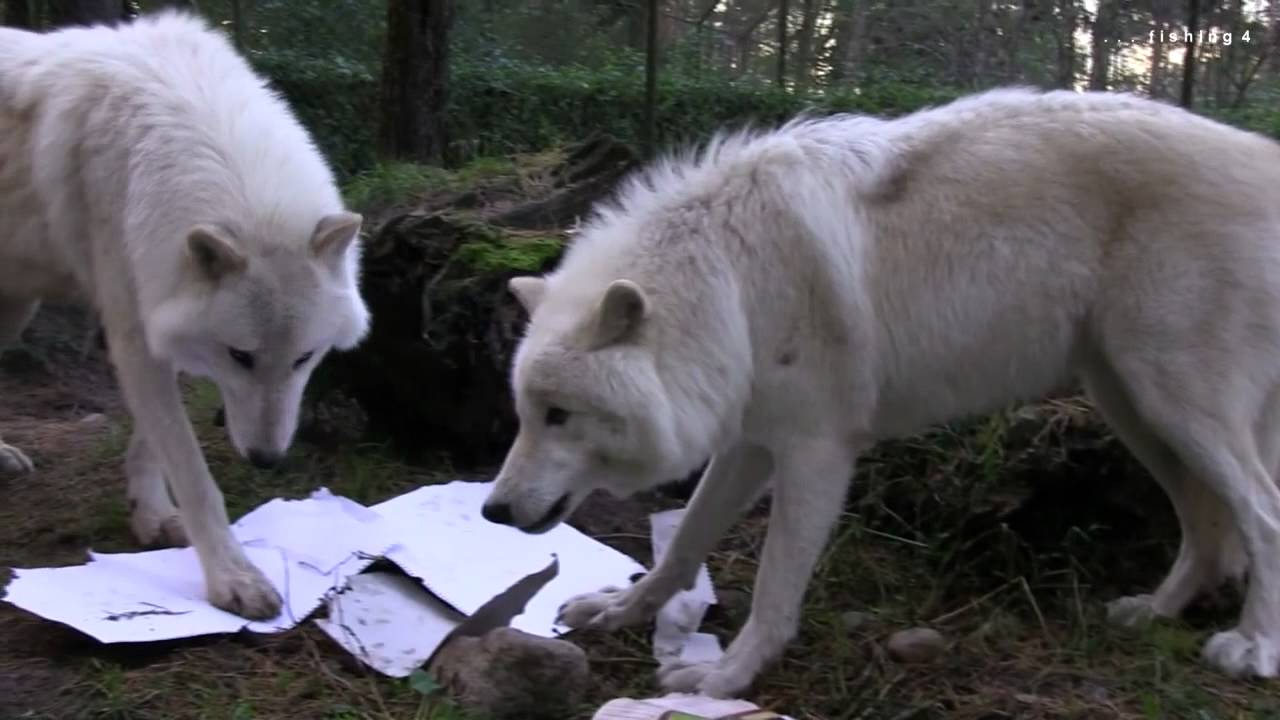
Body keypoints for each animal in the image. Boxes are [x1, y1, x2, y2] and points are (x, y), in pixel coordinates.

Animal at [0, 12, 370, 619]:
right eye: (240, 356)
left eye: (304, 359)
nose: (266, 460)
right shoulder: (134, 333)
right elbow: (194, 475)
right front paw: (232, 577)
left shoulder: (160, 320)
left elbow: (152, 446)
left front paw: (149, 513)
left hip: (18, 307)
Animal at [481, 87, 1280, 695]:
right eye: (522, 415)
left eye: (560, 415)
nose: (492, 510)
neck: (732, 280)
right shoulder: (748, 444)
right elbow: (682, 547)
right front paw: (620, 611)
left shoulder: (816, 452)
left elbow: (774, 588)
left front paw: (725, 678)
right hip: (1135, 407)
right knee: (1207, 531)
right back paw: (1154, 613)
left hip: (1176, 402)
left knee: (1262, 514)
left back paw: (1253, 648)